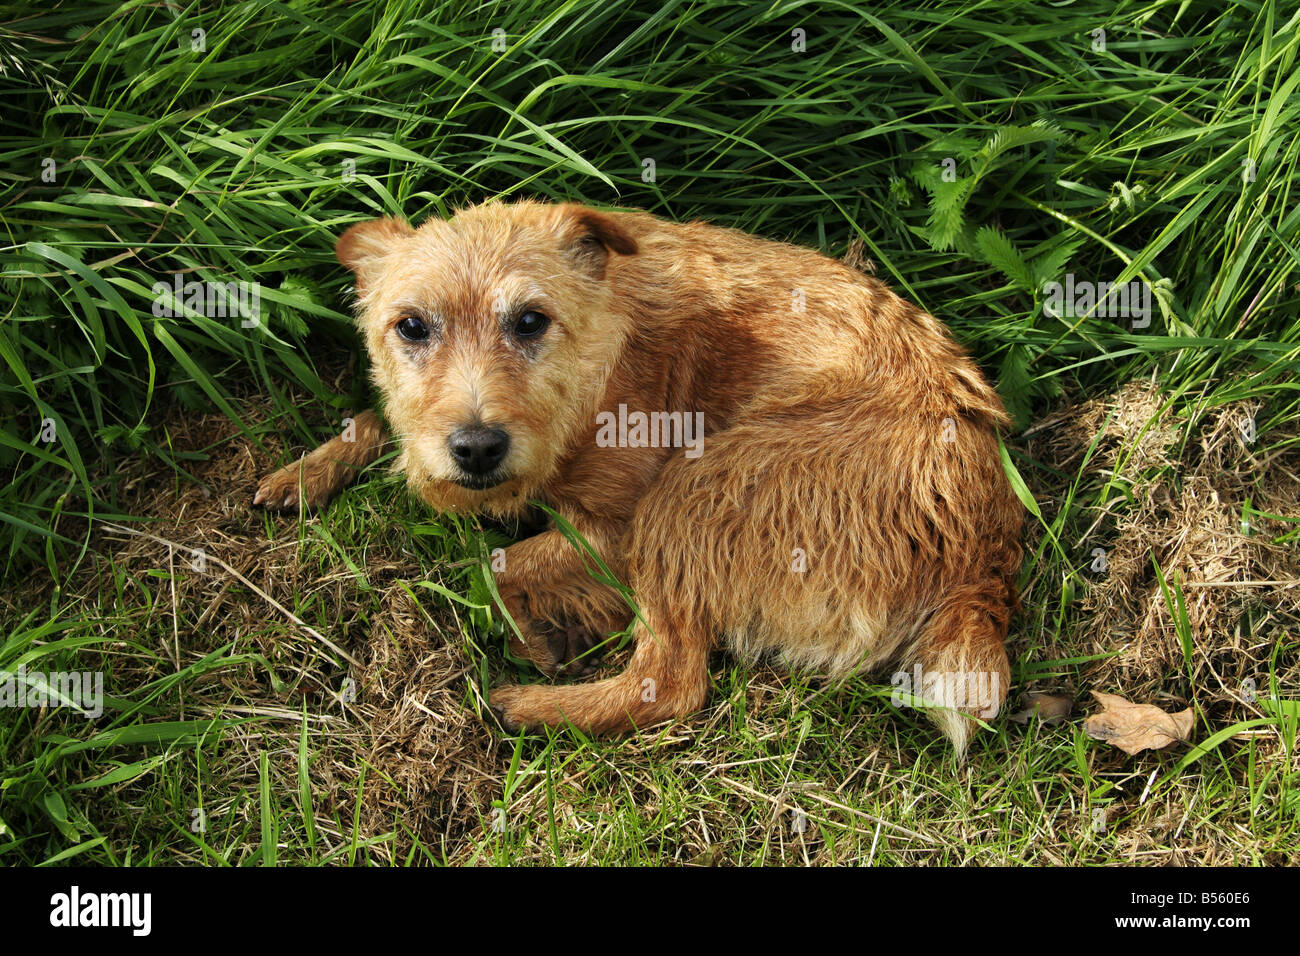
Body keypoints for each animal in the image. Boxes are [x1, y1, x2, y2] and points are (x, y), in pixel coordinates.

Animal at [256, 200, 1024, 754]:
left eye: (530, 320)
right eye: (411, 327)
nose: (476, 446)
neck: (598, 366)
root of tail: (984, 559)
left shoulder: (617, 530)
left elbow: (497, 566)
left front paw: (533, 632)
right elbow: (379, 417)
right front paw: (305, 471)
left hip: (693, 491)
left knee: (671, 683)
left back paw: (529, 709)